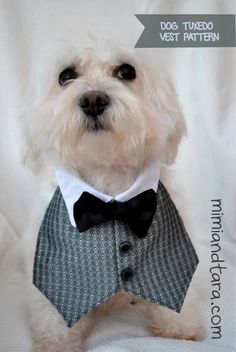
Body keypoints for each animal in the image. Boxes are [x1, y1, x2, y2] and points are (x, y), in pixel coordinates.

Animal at [20, 45, 205, 350]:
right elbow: (54, 304)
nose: (93, 100)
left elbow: (176, 283)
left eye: (126, 71)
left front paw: (180, 327)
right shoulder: (53, 261)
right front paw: (57, 342)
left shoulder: (171, 250)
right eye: (66, 76)